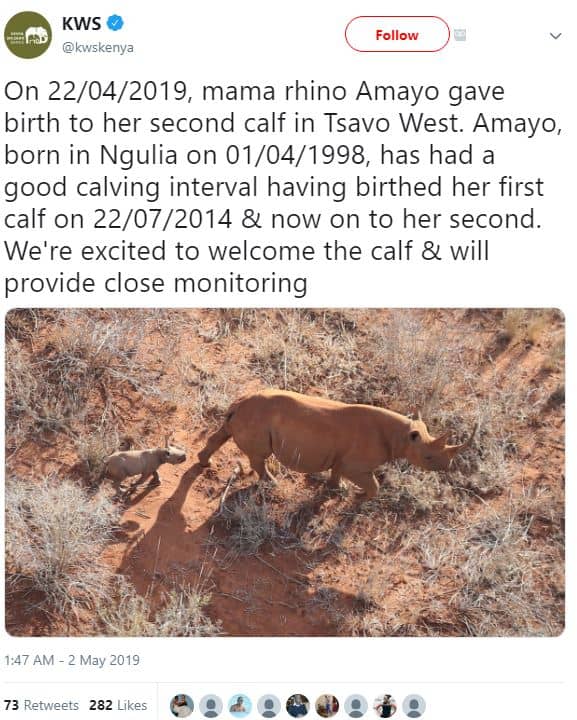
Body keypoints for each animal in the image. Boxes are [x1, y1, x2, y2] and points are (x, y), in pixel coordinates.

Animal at [197, 389, 476, 498]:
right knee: (259, 456)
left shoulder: (342, 456)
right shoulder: (357, 465)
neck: (404, 436)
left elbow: (336, 471)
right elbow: (374, 485)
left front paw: (336, 489)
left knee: (224, 433)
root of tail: (239, 403)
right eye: (428, 458)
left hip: (246, 412)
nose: (447, 469)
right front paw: (359, 496)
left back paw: (204, 463)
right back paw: (272, 484)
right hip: (257, 420)